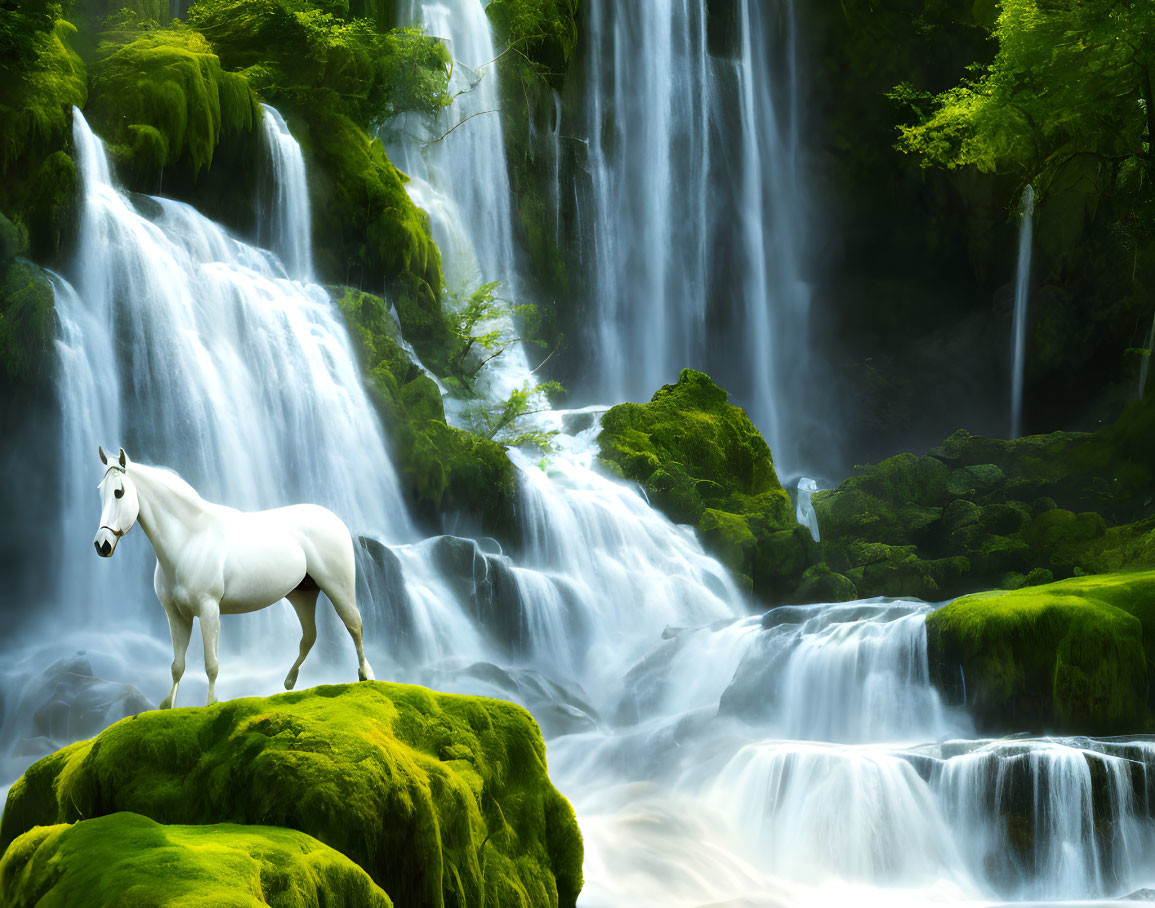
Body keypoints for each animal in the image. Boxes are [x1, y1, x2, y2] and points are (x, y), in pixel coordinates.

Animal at [95, 445, 374, 706]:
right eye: (100, 491)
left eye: (119, 492)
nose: (102, 545)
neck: (189, 539)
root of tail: (334, 518)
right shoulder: (176, 614)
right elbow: (177, 666)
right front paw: (168, 707)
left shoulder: (209, 609)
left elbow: (211, 664)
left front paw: (210, 706)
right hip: (302, 594)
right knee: (309, 636)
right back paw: (289, 681)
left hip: (337, 587)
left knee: (354, 625)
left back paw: (365, 676)